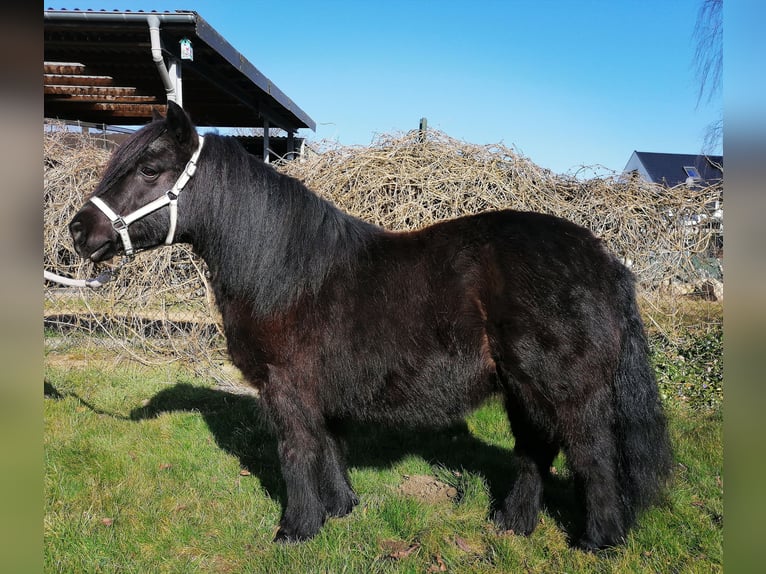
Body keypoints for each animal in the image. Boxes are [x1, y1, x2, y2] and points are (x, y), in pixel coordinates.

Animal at [70, 103, 672, 552]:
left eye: (150, 170)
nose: (79, 230)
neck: (284, 269)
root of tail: (606, 260)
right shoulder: (321, 388)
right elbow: (328, 446)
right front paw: (341, 510)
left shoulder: (285, 385)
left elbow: (295, 452)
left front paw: (296, 529)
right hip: (521, 389)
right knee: (534, 451)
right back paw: (512, 523)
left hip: (566, 390)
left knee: (591, 455)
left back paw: (599, 540)